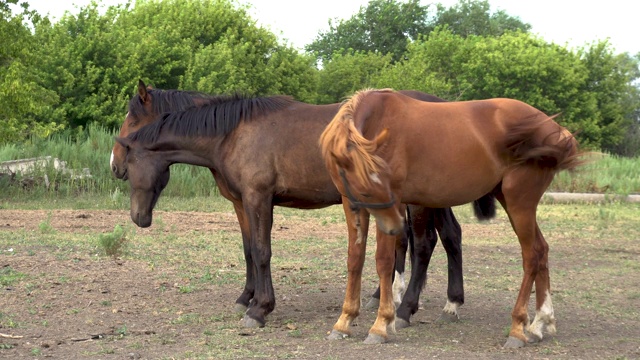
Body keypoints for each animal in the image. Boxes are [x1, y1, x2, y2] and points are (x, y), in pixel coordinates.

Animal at [109, 81, 496, 330]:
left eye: (132, 123)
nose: (115, 164)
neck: (233, 132)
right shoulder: (241, 203)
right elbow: (249, 250)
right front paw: (246, 298)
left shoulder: (259, 198)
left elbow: (262, 251)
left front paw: (260, 309)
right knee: (448, 236)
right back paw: (447, 301)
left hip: (417, 201)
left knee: (425, 245)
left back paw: (405, 310)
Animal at [318, 87, 584, 346]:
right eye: (365, 191)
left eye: (388, 185)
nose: (396, 227)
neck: (376, 119)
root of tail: (556, 131)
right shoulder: (353, 205)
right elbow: (355, 259)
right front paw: (345, 320)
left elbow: (384, 261)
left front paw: (381, 324)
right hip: (510, 201)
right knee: (541, 249)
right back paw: (540, 323)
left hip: (520, 201)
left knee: (531, 255)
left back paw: (518, 328)